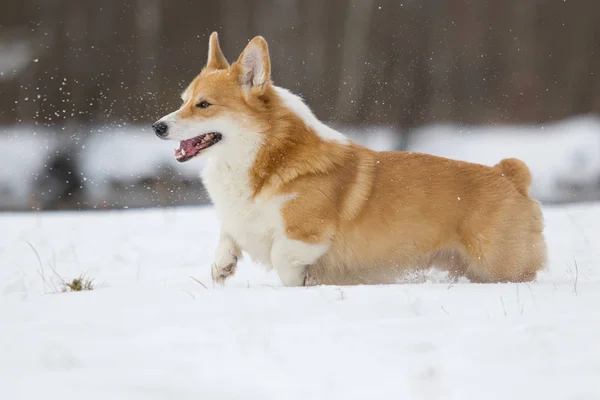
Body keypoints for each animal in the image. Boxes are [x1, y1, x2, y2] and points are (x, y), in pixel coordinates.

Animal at [152, 32, 548, 286]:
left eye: (204, 105)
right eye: (184, 100)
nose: (157, 127)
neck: (265, 157)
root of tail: (508, 174)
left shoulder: (305, 236)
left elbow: (282, 256)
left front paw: (302, 284)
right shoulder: (239, 218)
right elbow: (228, 234)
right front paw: (222, 266)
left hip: (498, 265)